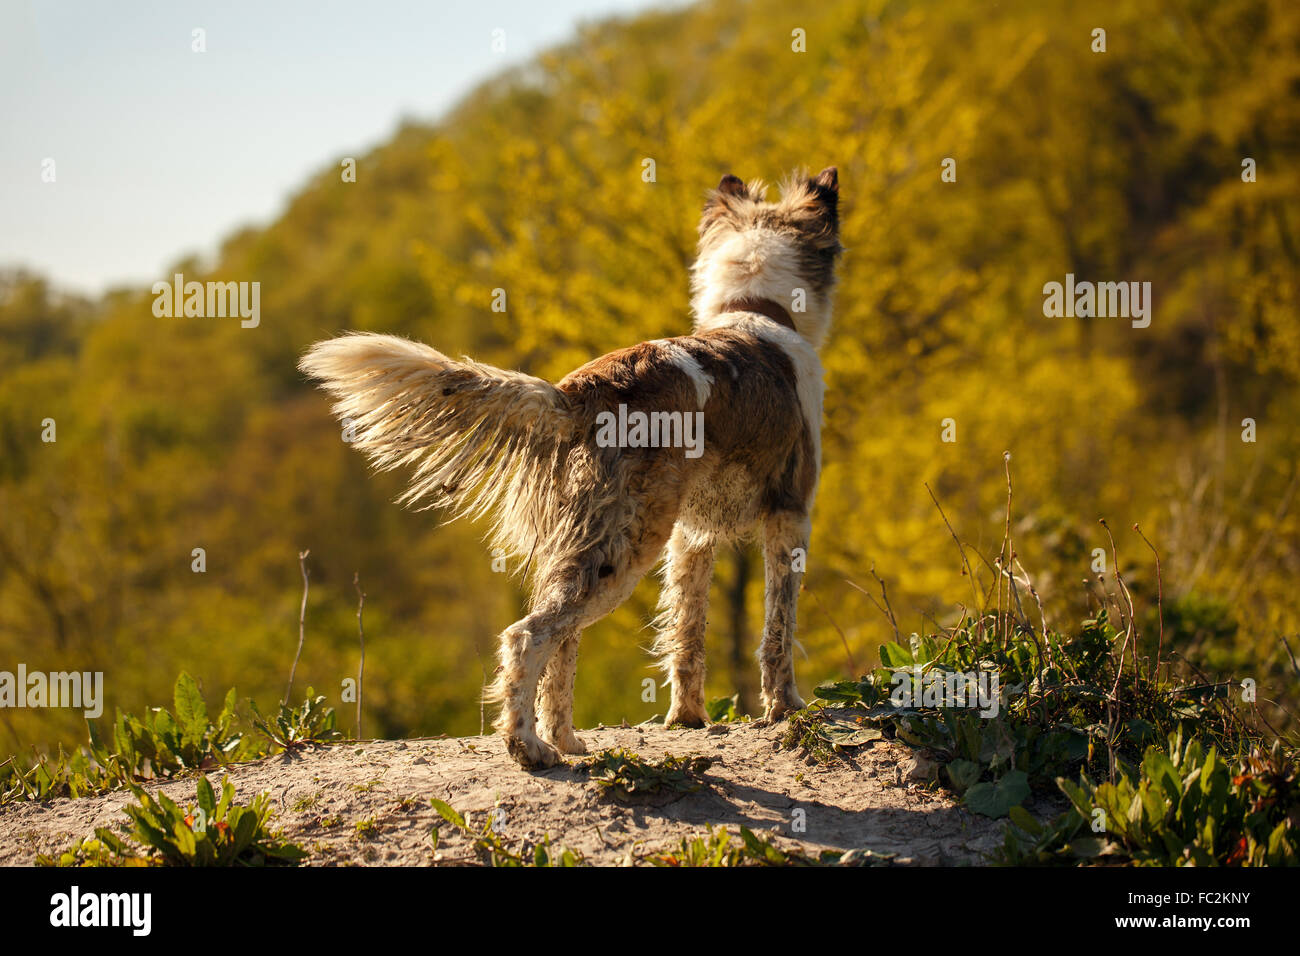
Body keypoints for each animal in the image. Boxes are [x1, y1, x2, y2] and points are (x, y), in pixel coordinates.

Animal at [299, 167, 842, 770]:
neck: (757, 308)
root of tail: (577, 392)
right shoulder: (790, 517)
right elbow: (778, 631)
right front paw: (785, 707)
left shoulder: (691, 540)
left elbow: (687, 634)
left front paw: (688, 719)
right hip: (622, 550)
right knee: (527, 637)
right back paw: (529, 747)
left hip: (591, 544)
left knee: (561, 644)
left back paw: (566, 742)